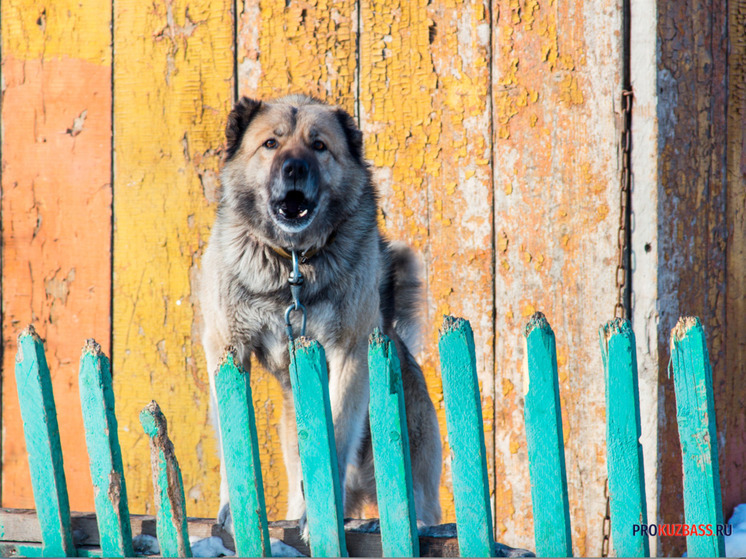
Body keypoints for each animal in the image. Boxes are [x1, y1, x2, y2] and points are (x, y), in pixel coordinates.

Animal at [199, 95, 442, 532]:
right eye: (271, 143)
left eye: (319, 146)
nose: (295, 168)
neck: (293, 262)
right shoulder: (226, 349)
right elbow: (232, 436)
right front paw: (233, 509)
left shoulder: (349, 354)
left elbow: (338, 433)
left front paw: (321, 516)